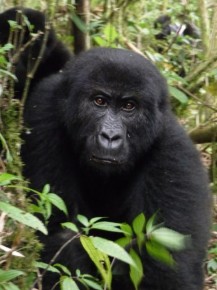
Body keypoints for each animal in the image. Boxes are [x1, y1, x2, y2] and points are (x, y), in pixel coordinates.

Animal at [22, 48, 210, 290]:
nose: (110, 136)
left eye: (129, 106)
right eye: (99, 101)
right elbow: (56, 230)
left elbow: (168, 266)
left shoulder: (174, 153)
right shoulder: (43, 115)